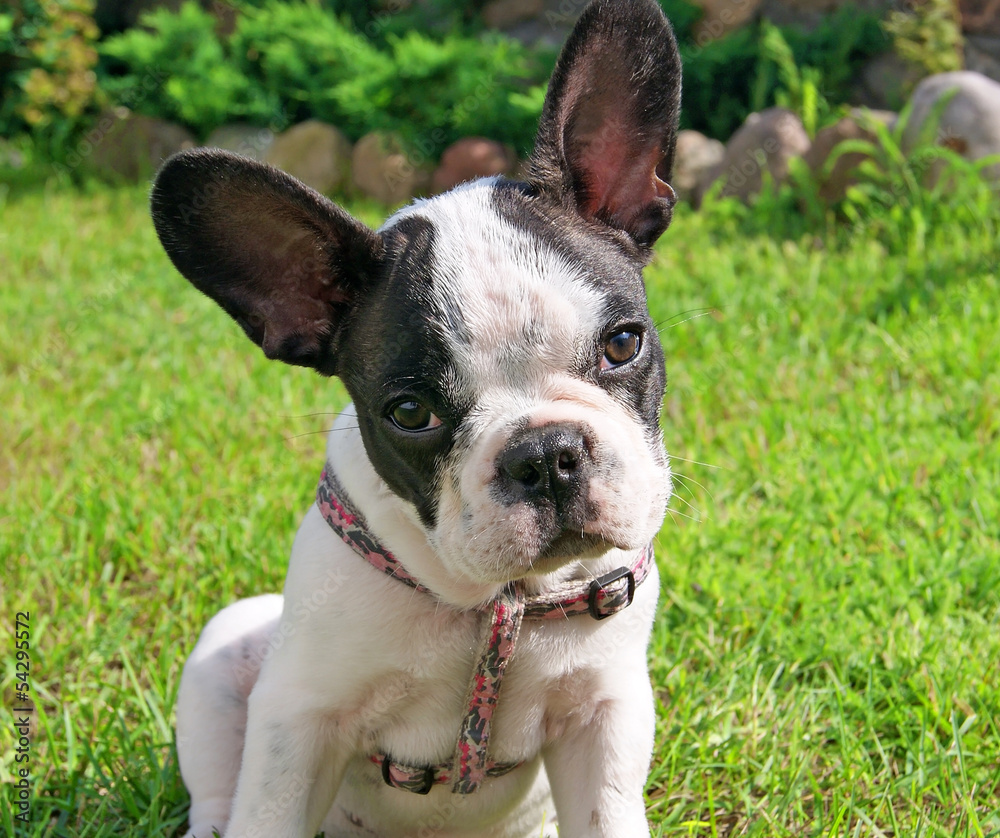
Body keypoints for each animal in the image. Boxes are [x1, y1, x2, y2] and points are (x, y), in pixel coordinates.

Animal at [152, 1, 684, 838]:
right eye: (410, 413)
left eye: (623, 344)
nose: (546, 453)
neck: (495, 606)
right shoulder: (298, 719)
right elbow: (268, 806)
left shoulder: (603, 715)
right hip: (227, 647)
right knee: (216, 786)